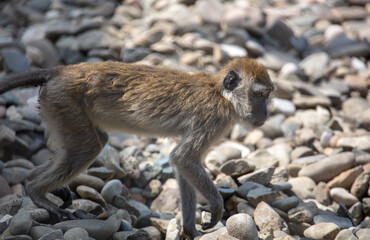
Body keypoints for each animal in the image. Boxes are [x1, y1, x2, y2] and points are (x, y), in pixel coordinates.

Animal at [0, 57, 272, 238]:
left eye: (268, 95)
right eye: (259, 95)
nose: (266, 113)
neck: (221, 94)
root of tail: (61, 71)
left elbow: (182, 165)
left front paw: (190, 229)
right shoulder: (214, 119)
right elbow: (183, 158)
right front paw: (215, 208)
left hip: (58, 106)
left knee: (90, 142)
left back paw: (35, 180)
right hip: (65, 101)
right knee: (89, 147)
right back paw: (37, 192)